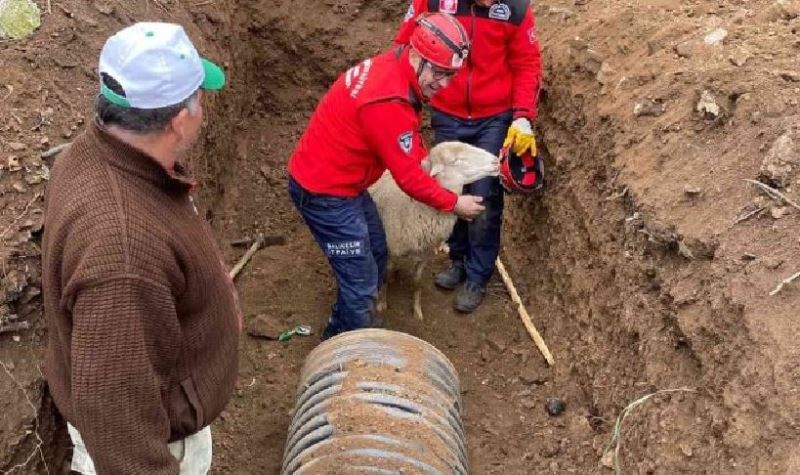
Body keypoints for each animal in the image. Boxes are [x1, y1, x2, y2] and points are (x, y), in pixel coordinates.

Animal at [370, 141, 500, 320]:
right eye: (456, 160)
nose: (497, 161)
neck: (416, 205)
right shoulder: (391, 249)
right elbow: (386, 276)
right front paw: (382, 303)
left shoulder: (424, 254)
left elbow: (417, 282)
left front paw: (417, 311)